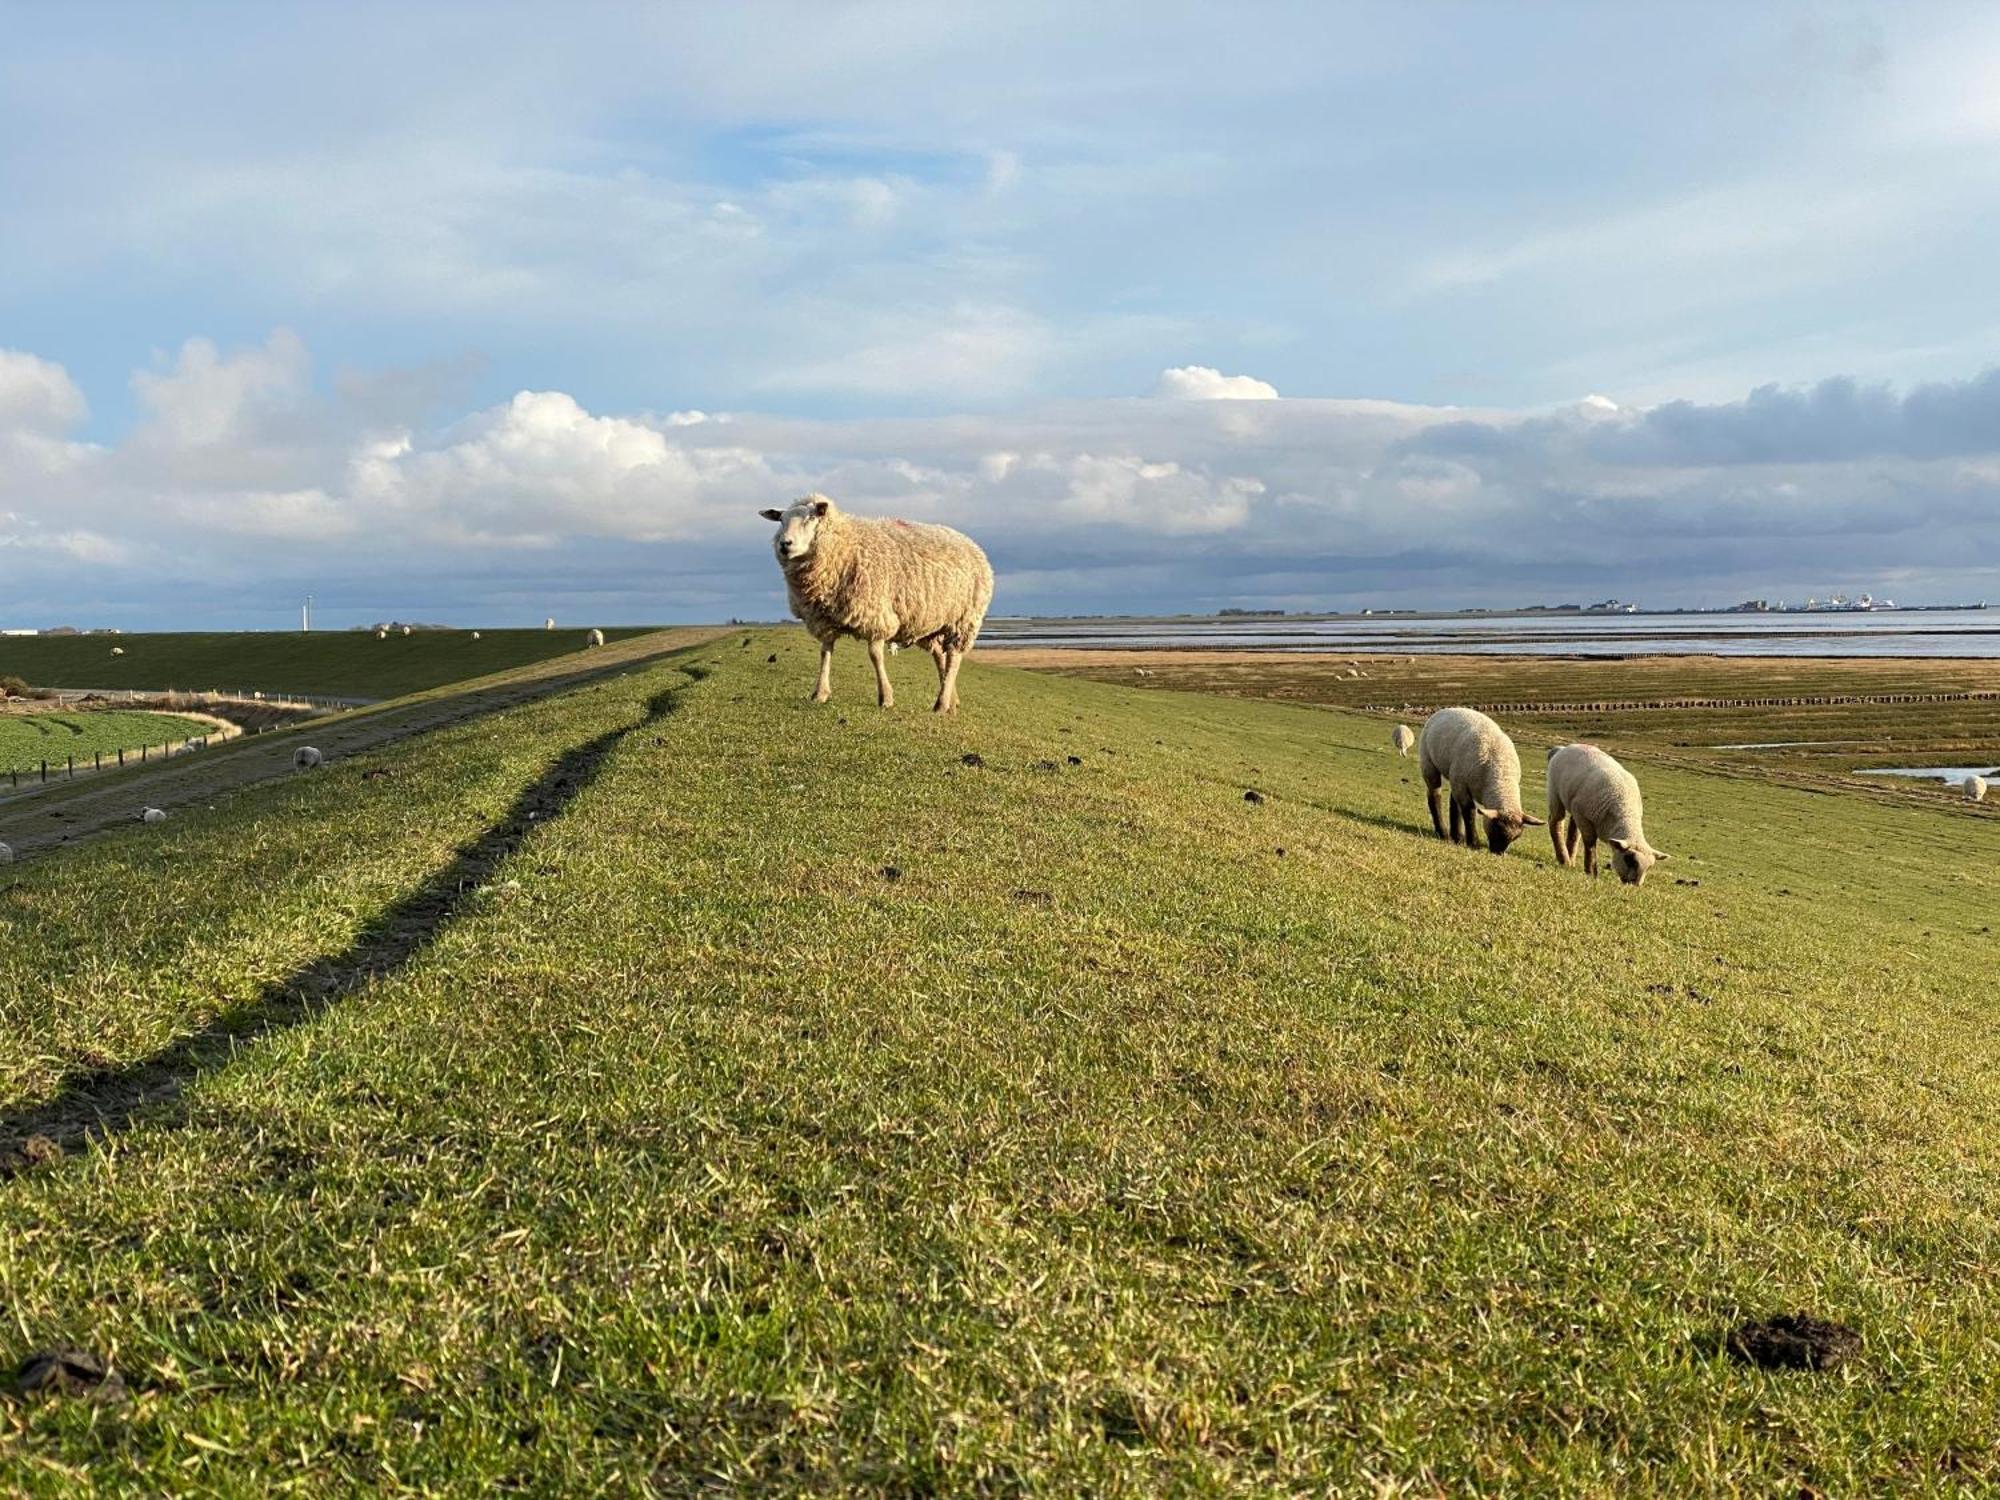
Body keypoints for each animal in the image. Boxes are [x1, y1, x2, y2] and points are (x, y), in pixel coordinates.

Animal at [756, 488, 992, 712]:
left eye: (811, 518)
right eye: (781, 521)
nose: (784, 544)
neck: (845, 546)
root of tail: (972, 544)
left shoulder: (876, 614)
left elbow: (875, 655)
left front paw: (885, 697)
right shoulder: (824, 619)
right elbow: (825, 653)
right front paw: (820, 693)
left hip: (964, 620)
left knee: (953, 657)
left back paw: (942, 704)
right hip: (930, 623)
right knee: (940, 656)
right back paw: (951, 700)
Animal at [1416, 708, 1536, 856]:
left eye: (1516, 837)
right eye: (1496, 828)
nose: (1498, 853)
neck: (1500, 773)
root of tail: (1445, 709)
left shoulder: (1460, 783)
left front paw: (1465, 839)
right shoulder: (1462, 784)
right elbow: (1469, 811)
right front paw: (1474, 843)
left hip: (1455, 778)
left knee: (1454, 803)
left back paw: (1457, 836)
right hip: (1429, 762)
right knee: (1434, 796)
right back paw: (1443, 833)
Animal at [1544, 748, 1672, 888]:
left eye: (1649, 867)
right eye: (1629, 860)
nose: (1634, 885)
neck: (1625, 813)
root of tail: (1563, 748)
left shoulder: (1581, 814)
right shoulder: (1584, 817)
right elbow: (1590, 845)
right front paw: (1591, 873)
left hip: (1574, 806)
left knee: (1573, 832)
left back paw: (1570, 860)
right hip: (1555, 792)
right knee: (1556, 822)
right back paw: (1564, 860)